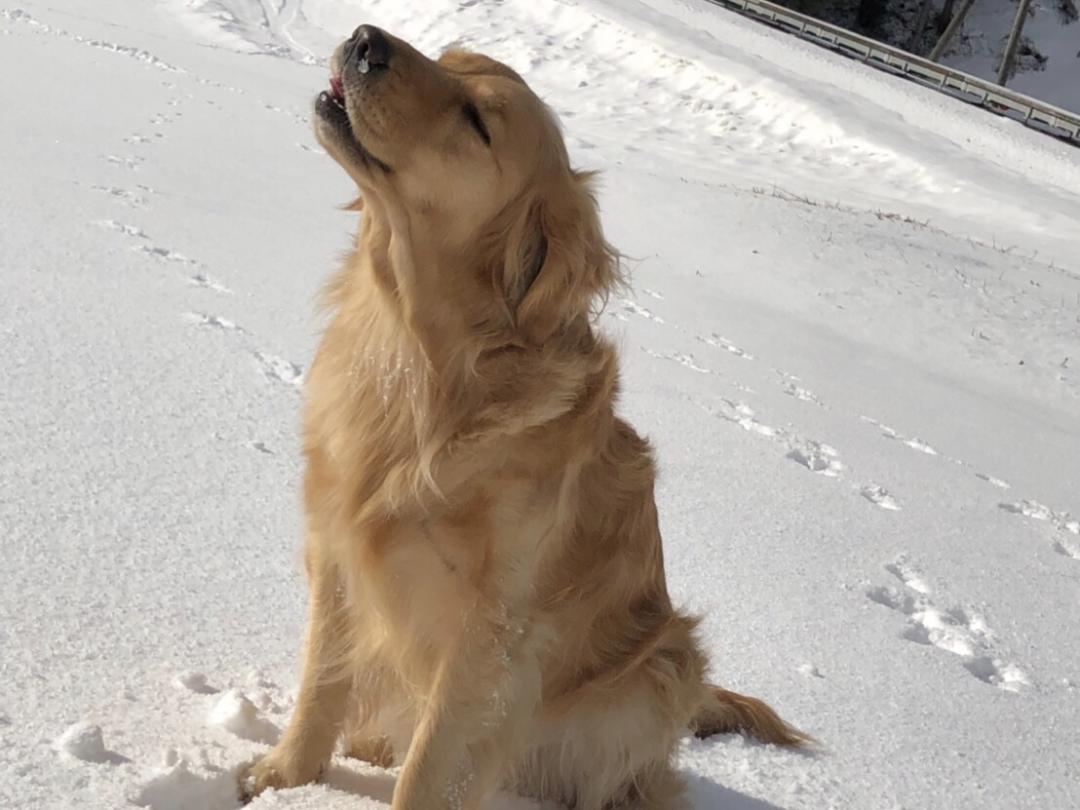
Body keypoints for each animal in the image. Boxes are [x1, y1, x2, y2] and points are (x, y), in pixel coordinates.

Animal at [240, 22, 807, 807]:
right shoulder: (338, 547)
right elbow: (324, 679)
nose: (363, 40)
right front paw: (284, 778)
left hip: (659, 670)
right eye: (448, 60)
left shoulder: (490, 626)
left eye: (477, 121)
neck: (424, 362)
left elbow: (432, 759)